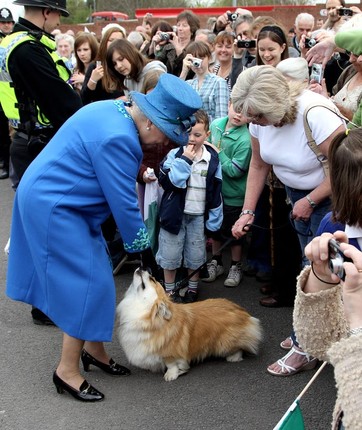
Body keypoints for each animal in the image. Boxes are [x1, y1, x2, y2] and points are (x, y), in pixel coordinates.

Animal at [117, 268, 262, 382]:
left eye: (152, 279)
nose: (142, 268)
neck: (145, 313)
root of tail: (242, 311)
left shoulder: (169, 352)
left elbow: (171, 364)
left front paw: (171, 375)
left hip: (224, 343)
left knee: (240, 347)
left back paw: (233, 357)